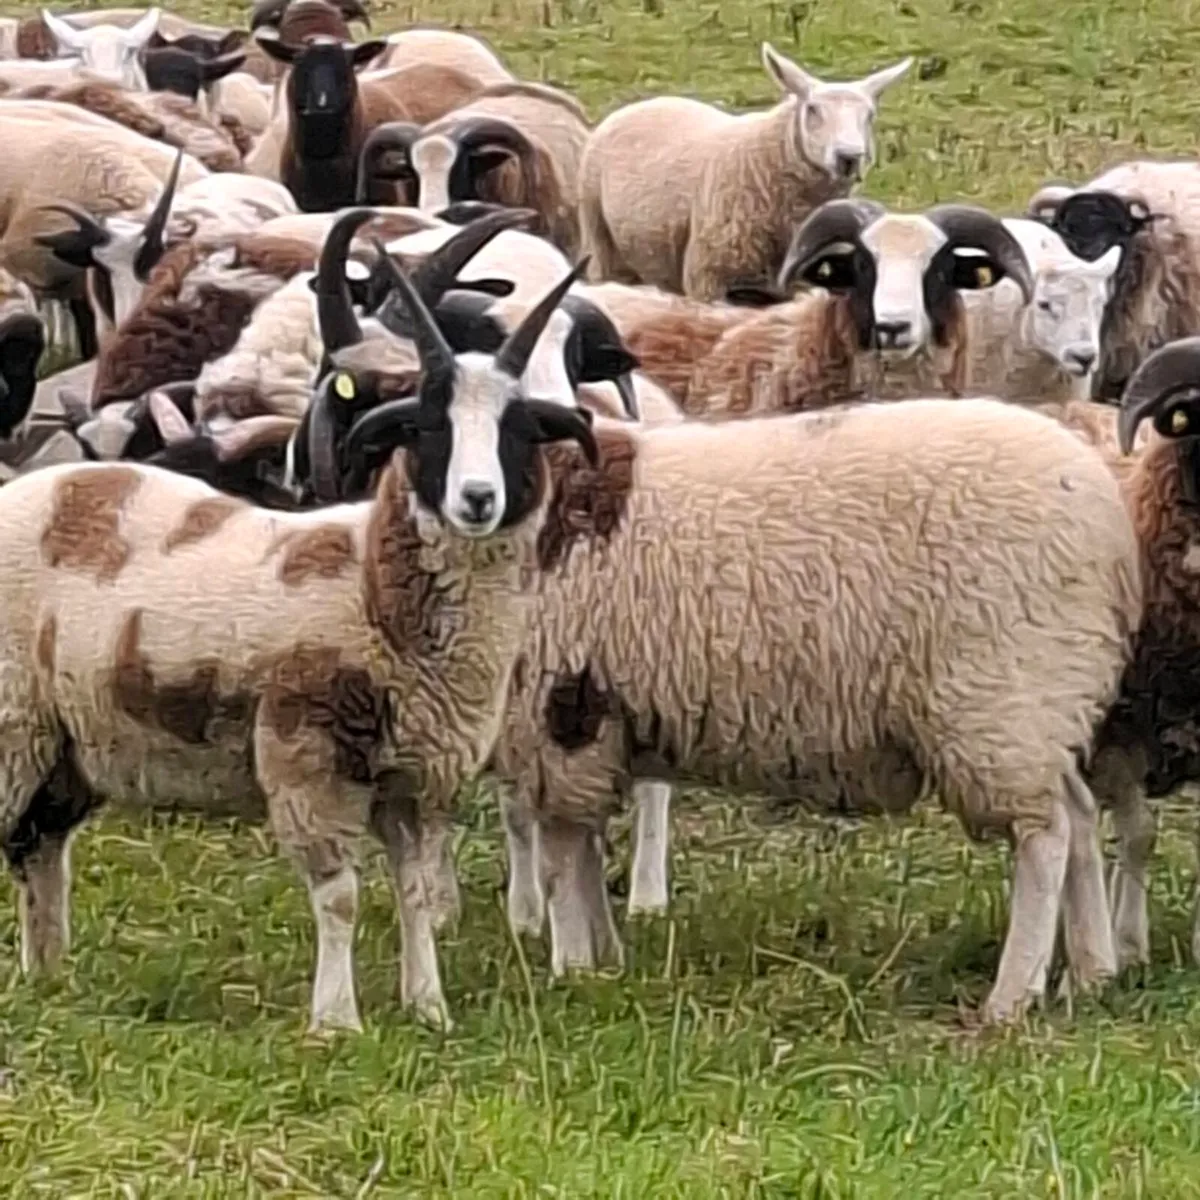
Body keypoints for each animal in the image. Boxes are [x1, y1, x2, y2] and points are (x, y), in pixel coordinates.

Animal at [0, 244, 598, 1033]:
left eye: (519, 429)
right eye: (428, 427)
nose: (477, 499)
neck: (373, 588)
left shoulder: (418, 775)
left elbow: (414, 893)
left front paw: (428, 1007)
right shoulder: (305, 755)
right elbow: (340, 897)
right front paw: (337, 1020)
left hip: (61, 744)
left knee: (40, 850)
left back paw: (49, 976)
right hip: (14, 725)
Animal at [577, 43, 911, 300]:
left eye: (870, 115)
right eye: (812, 110)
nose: (849, 157)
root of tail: (638, 104)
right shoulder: (708, 278)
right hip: (600, 240)